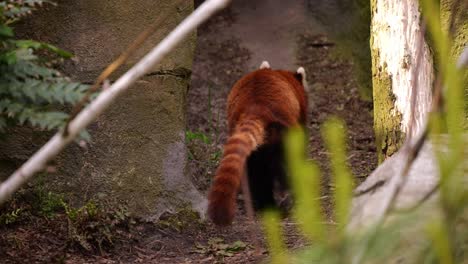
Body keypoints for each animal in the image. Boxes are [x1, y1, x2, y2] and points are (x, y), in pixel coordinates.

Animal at [207, 60, 308, 226]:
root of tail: (257, 109)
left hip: (253, 144)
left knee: (256, 171)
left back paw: (266, 205)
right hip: (282, 134)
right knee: (285, 165)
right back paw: (289, 197)